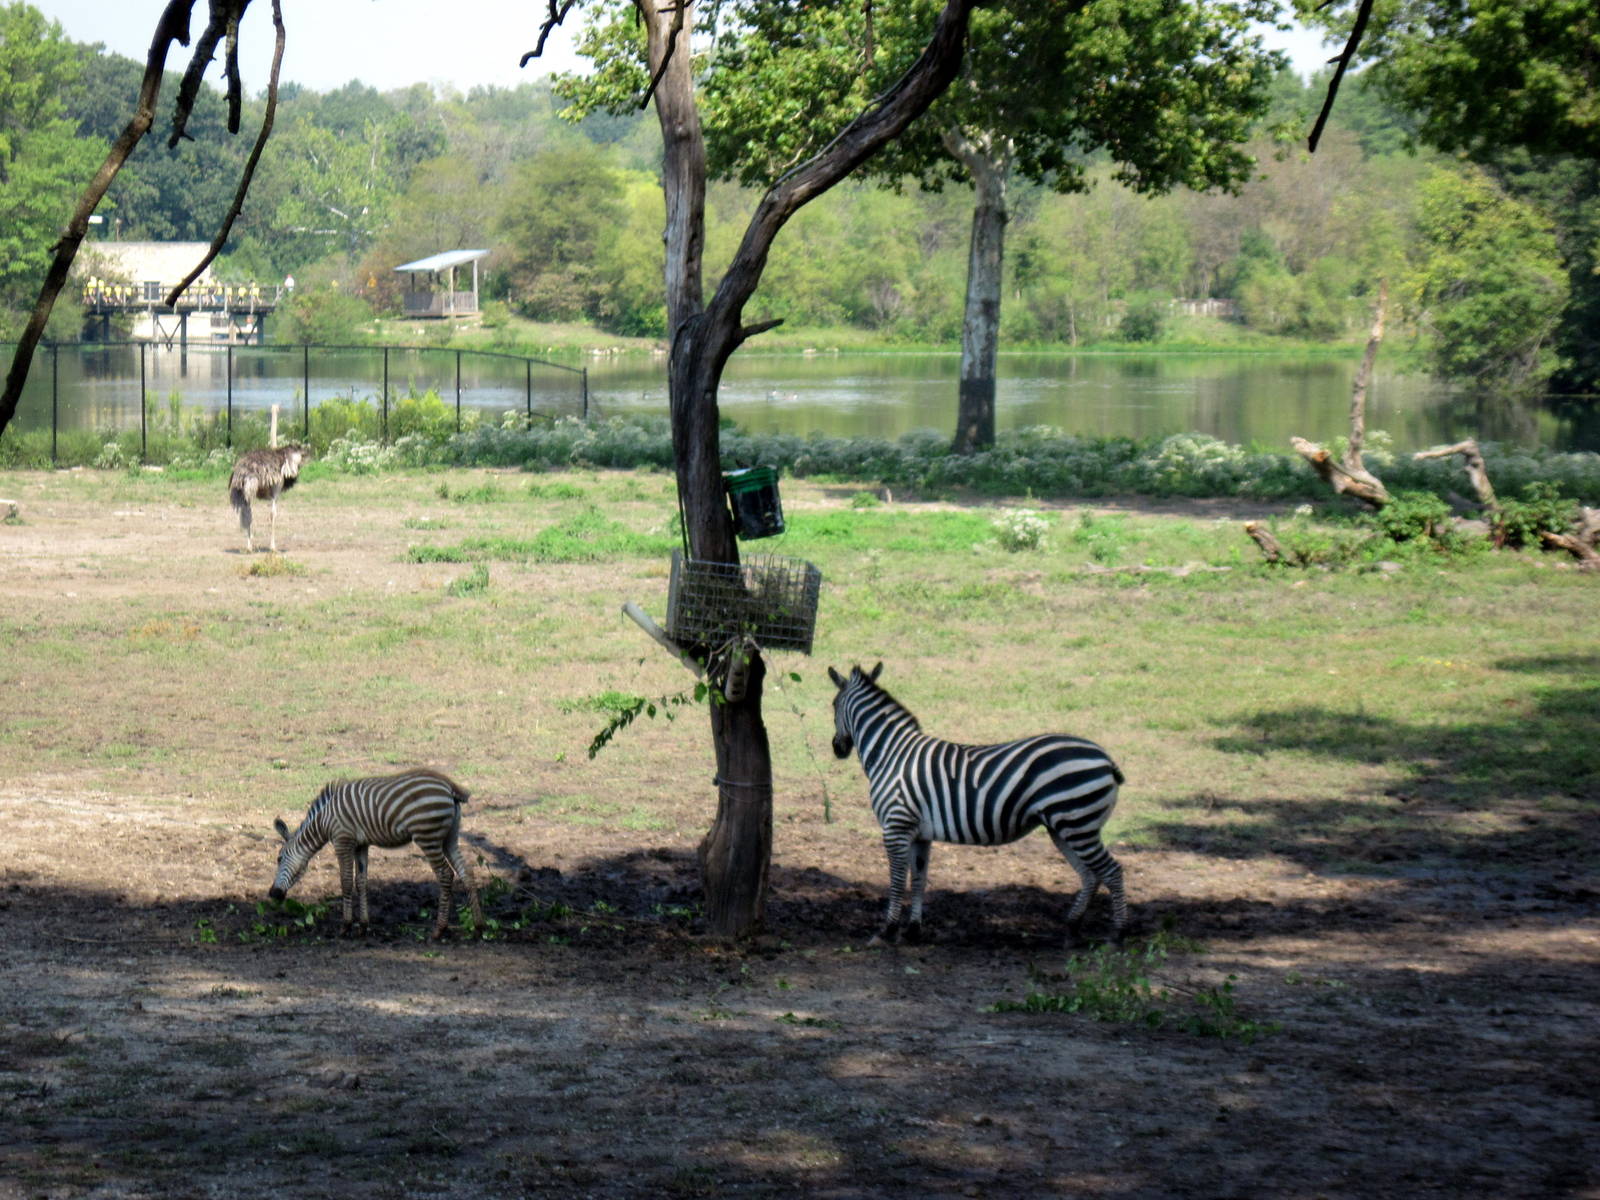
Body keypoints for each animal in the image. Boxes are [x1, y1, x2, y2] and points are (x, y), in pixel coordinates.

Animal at [269, 768, 483, 940]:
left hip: (428, 837)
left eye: (279, 858)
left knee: (445, 874)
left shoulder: (342, 840)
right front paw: (363, 926)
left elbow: (346, 881)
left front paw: (345, 927)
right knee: (467, 872)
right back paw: (478, 927)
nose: (273, 894)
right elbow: (361, 882)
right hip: (450, 837)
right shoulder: (361, 845)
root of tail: (448, 785)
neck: (323, 820)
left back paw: (439, 930)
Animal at [829, 662, 1127, 947]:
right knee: (1090, 875)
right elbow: (919, 880)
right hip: (1065, 827)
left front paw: (887, 931)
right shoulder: (919, 832)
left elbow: (897, 880)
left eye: (833, 705)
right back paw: (1071, 929)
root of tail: (1105, 758)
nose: (837, 748)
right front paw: (913, 931)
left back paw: (1116, 935)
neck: (891, 754)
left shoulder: (896, 826)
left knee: (1112, 871)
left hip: (1077, 823)